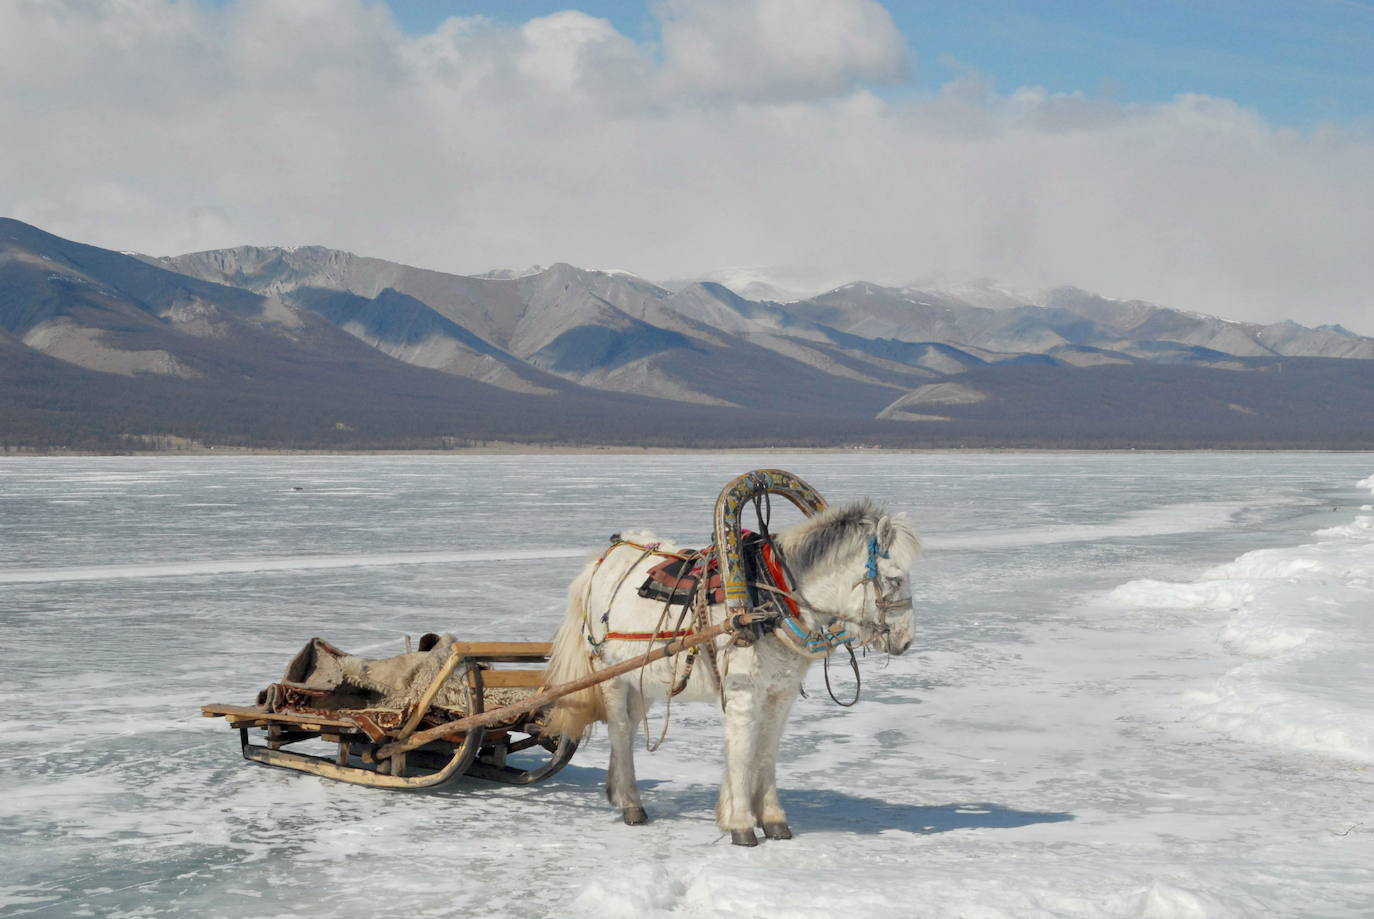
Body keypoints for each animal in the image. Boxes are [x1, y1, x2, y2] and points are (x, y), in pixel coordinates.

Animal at [541, 502, 917, 846]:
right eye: (895, 578)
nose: (906, 640)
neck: (769, 603)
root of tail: (602, 560)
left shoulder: (781, 693)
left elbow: (766, 752)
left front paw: (773, 820)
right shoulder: (743, 692)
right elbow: (742, 752)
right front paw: (740, 824)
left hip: (642, 678)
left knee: (631, 728)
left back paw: (618, 793)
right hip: (610, 673)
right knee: (619, 729)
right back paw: (632, 805)